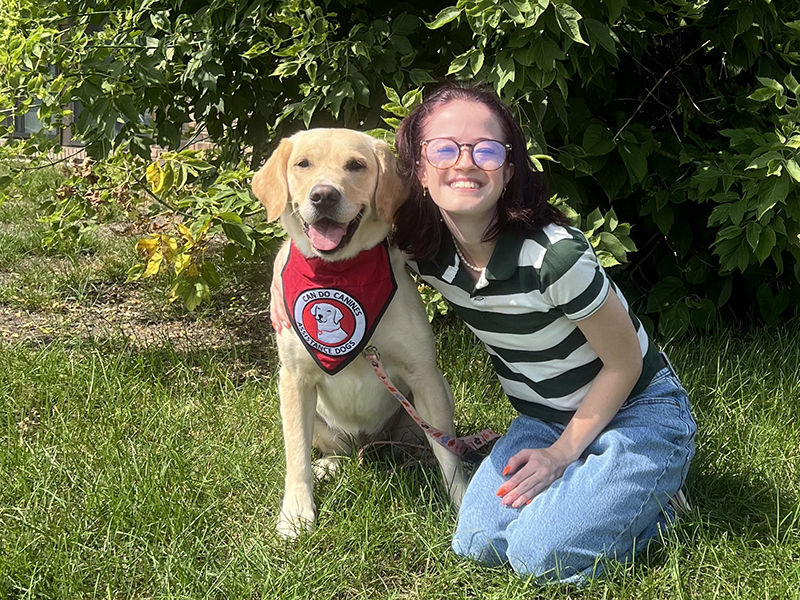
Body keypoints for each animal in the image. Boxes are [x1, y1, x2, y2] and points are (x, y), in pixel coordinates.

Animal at [253, 127, 466, 540]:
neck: (339, 272)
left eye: (356, 165)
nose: (323, 195)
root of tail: (367, 445)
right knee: (328, 449)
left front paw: (464, 501)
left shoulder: (423, 374)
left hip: (436, 393)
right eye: (303, 164)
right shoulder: (294, 379)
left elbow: (448, 453)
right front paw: (296, 512)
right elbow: (296, 455)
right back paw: (330, 465)